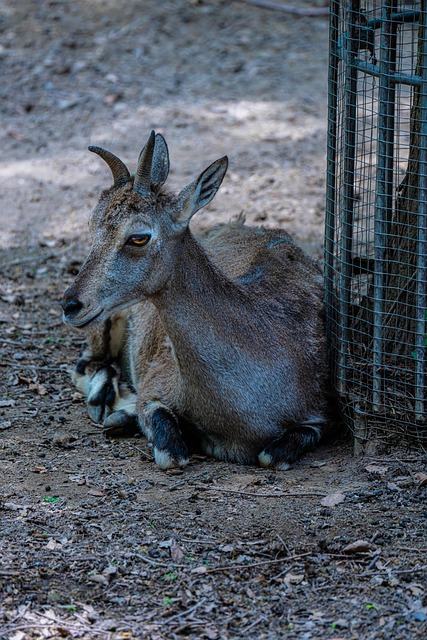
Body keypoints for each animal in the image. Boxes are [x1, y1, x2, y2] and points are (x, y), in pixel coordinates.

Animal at [61, 131, 332, 470]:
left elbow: (272, 456)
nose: (71, 304)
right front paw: (129, 414)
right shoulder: (156, 388)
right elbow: (171, 453)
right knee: (86, 364)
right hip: (107, 322)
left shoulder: (318, 416)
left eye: (138, 237)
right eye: (91, 226)